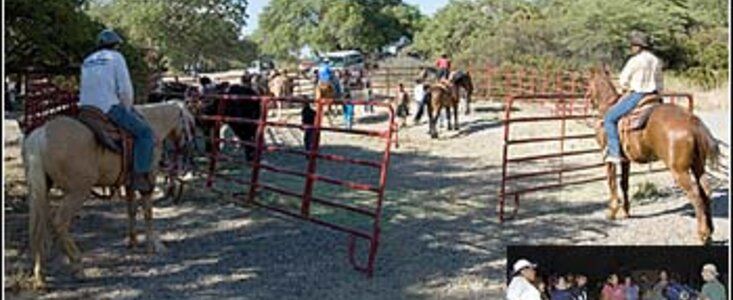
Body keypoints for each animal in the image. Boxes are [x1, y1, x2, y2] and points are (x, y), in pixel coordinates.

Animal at [22, 99, 196, 288]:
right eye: (190, 124)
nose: (188, 149)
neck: (152, 124)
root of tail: (42, 134)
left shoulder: (129, 183)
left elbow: (131, 210)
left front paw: (133, 242)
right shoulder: (148, 180)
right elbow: (148, 212)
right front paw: (153, 246)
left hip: (40, 190)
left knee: (37, 226)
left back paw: (40, 275)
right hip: (77, 191)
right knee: (60, 222)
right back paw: (78, 267)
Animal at [584, 66, 720, 244]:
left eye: (587, 83)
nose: (588, 99)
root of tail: (692, 122)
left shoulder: (608, 158)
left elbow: (611, 182)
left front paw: (612, 212)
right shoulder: (625, 160)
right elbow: (624, 183)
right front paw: (626, 211)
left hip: (680, 170)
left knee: (696, 195)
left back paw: (702, 235)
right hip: (698, 165)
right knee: (706, 191)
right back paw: (710, 232)